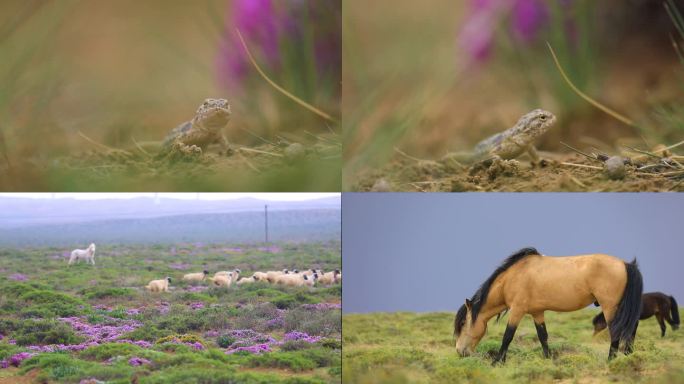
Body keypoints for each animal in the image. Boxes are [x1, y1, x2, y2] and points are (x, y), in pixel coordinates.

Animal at [454, 246, 640, 364]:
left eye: (462, 323)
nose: (459, 352)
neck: (514, 277)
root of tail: (625, 264)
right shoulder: (537, 313)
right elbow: (543, 337)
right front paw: (549, 359)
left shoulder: (517, 311)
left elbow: (508, 336)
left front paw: (498, 361)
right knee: (631, 326)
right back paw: (629, 354)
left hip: (610, 307)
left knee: (617, 330)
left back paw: (611, 360)